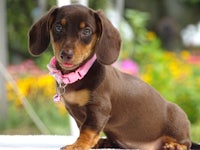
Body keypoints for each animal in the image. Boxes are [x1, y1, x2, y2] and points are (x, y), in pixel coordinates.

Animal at [28, 4, 198, 149]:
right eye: (58, 27)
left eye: (86, 31)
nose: (65, 55)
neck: (78, 75)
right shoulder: (76, 113)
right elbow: (83, 129)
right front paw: (89, 143)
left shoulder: (98, 108)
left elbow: (88, 131)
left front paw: (78, 145)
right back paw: (105, 142)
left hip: (177, 121)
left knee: (186, 144)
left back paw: (174, 145)